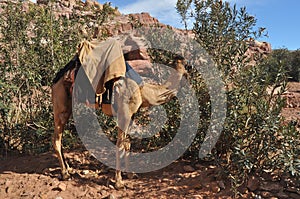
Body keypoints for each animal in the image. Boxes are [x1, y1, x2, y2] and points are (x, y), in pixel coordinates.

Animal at [51, 42, 188, 187]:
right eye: (186, 70)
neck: (142, 91)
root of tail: (56, 79)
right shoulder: (124, 113)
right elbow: (120, 145)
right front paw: (118, 182)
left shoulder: (132, 115)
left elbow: (127, 144)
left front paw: (130, 174)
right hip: (61, 103)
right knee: (56, 138)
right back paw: (65, 174)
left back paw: (69, 169)